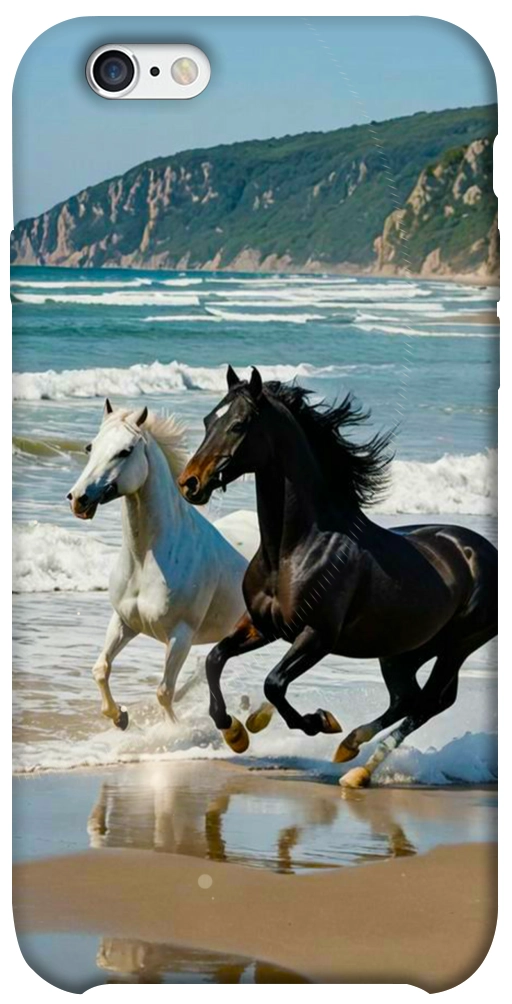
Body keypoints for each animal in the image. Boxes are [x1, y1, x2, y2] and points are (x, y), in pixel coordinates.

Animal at [67, 399, 247, 730]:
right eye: (90, 447)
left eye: (125, 451)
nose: (78, 499)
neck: (146, 560)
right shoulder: (124, 622)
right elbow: (101, 668)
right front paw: (120, 717)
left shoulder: (180, 635)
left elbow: (164, 691)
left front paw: (172, 732)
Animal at [178, 366, 497, 787]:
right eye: (207, 420)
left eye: (239, 424)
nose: (190, 483)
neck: (294, 549)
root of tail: (486, 552)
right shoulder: (263, 625)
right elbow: (215, 659)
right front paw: (235, 733)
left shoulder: (318, 636)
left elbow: (274, 683)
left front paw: (318, 722)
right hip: (404, 650)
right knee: (409, 698)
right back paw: (350, 748)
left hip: (458, 645)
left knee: (428, 702)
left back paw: (357, 767)